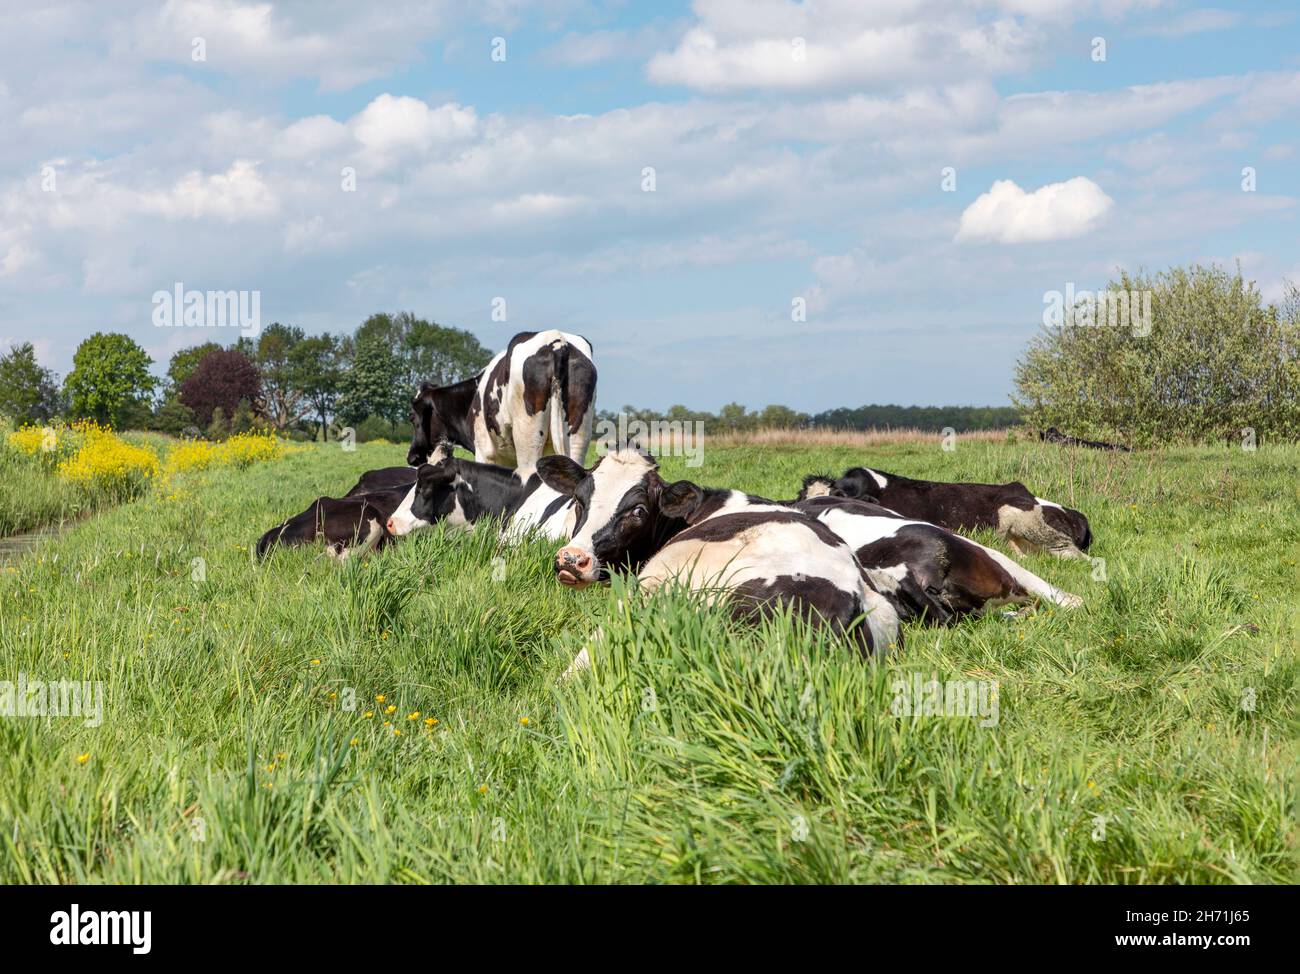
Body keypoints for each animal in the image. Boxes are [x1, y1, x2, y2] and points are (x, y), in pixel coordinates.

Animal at [403, 329, 595, 475]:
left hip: (529, 440)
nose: (412, 457)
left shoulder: (484, 452)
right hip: (577, 436)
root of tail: (557, 342)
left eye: (412, 417)